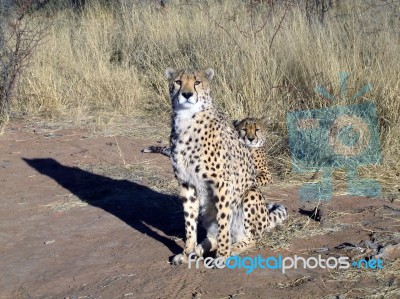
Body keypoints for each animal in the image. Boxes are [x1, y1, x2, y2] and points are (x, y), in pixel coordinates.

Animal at [165, 67, 288, 264]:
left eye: (197, 82)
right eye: (178, 82)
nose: (187, 94)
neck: (187, 119)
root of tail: (267, 219)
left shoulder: (222, 183)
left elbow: (224, 223)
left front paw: (222, 256)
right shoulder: (186, 183)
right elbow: (189, 223)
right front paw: (186, 253)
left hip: (251, 194)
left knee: (250, 238)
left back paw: (231, 249)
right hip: (206, 209)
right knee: (212, 237)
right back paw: (198, 250)